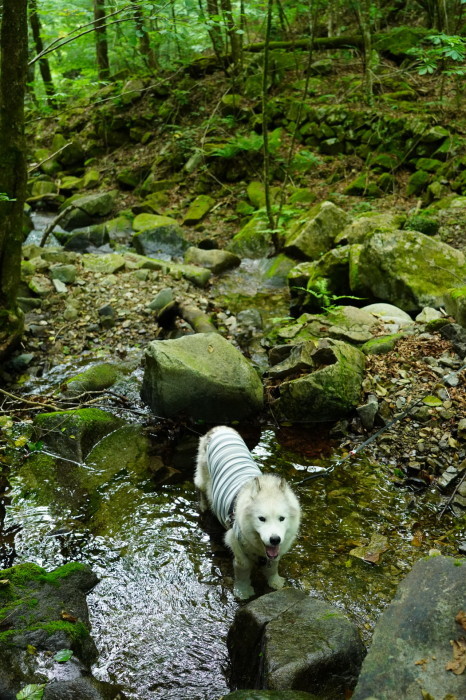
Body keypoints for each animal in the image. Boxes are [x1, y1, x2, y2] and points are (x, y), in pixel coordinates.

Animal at [194, 424, 300, 600]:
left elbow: (273, 566)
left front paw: (275, 581)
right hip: (203, 477)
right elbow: (242, 571)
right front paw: (243, 591)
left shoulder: (274, 554)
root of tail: (220, 428)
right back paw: (203, 506)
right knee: (201, 489)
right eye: (261, 519)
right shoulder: (236, 546)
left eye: (282, 518)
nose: (275, 539)